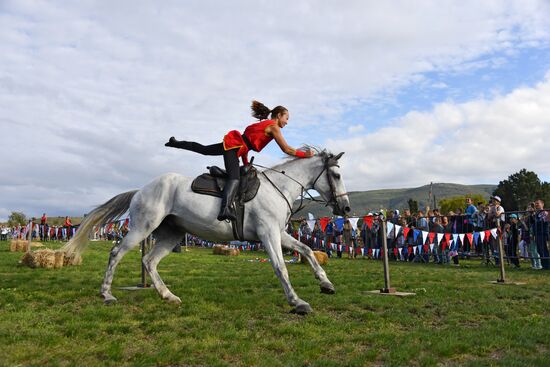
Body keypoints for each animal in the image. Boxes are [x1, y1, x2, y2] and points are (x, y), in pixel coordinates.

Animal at [62, 151, 352, 314]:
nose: (346, 208)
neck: (279, 187)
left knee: (149, 261)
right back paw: (107, 294)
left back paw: (168, 296)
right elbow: (282, 268)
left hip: (171, 234)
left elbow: (308, 251)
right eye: (336, 176)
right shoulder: (268, 233)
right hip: (143, 227)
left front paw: (326, 283)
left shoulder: (278, 233)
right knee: (116, 253)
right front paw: (297, 302)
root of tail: (140, 190)